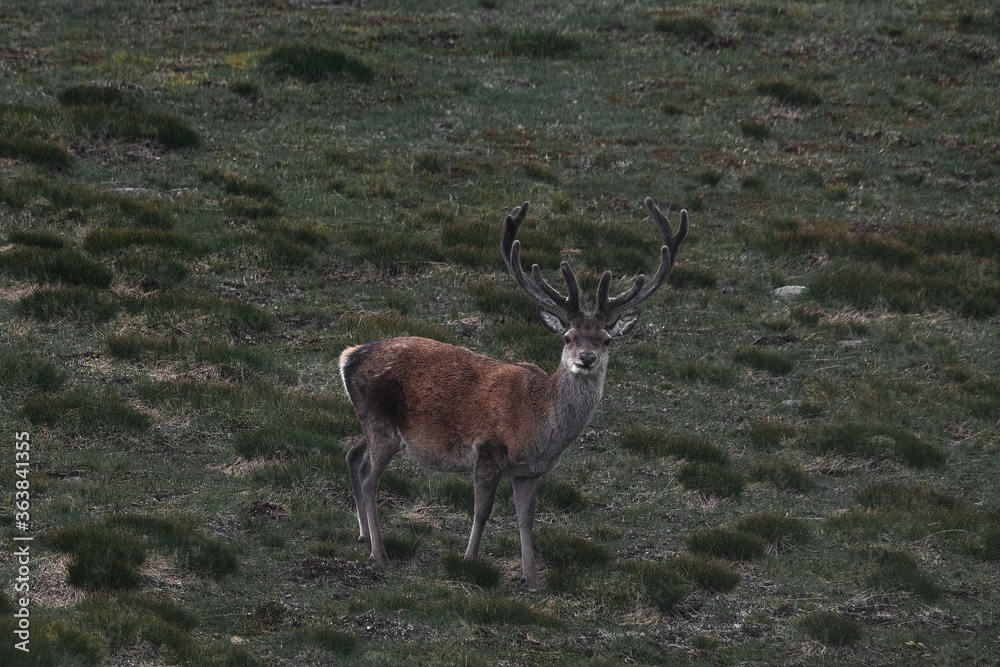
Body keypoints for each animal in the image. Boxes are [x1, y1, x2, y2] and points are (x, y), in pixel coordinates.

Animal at [339, 197, 688, 590]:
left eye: (606, 339)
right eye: (568, 337)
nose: (586, 358)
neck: (538, 423)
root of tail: (348, 357)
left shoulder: (530, 471)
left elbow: (526, 519)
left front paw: (532, 579)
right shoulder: (489, 452)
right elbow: (482, 511)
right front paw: (469, 561)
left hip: (374, 423)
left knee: (353, 455)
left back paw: (363, 536)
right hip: (381, 422)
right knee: (370, 478)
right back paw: (379, 554)